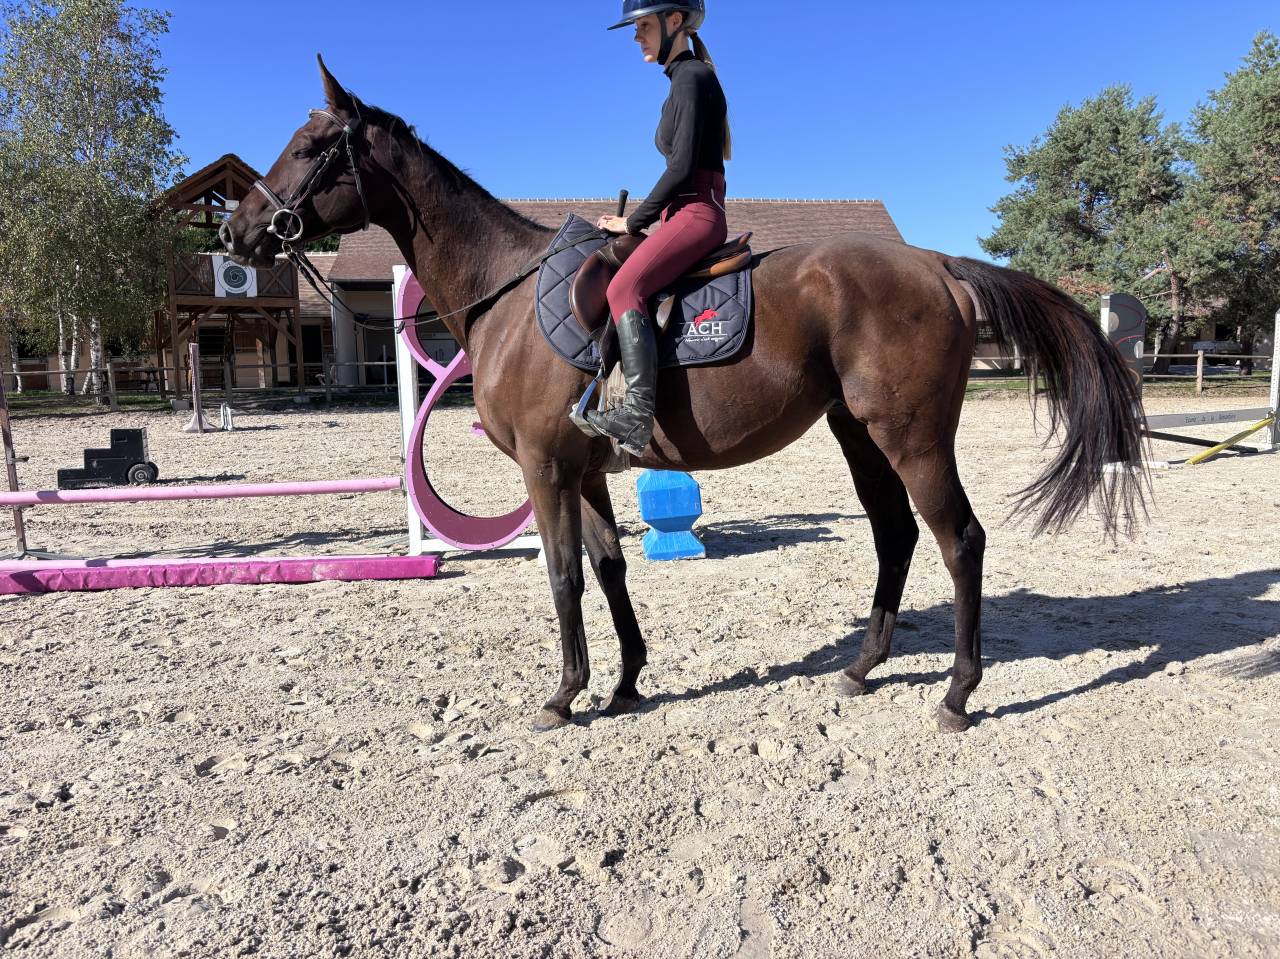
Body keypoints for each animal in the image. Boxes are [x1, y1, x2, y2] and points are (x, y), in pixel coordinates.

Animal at [221, 57, 1146, 734]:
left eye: (309, 146)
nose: (236, 231)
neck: (509, 290)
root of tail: (937, 265)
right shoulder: (584, 472)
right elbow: (609, 566)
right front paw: (626, 680)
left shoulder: (545, 470)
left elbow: (562, 575)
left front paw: (565, 694)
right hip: (858, 433)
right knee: (895, 534)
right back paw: (860, 668)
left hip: (911, 436)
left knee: (960, 540)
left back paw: (957, 693)